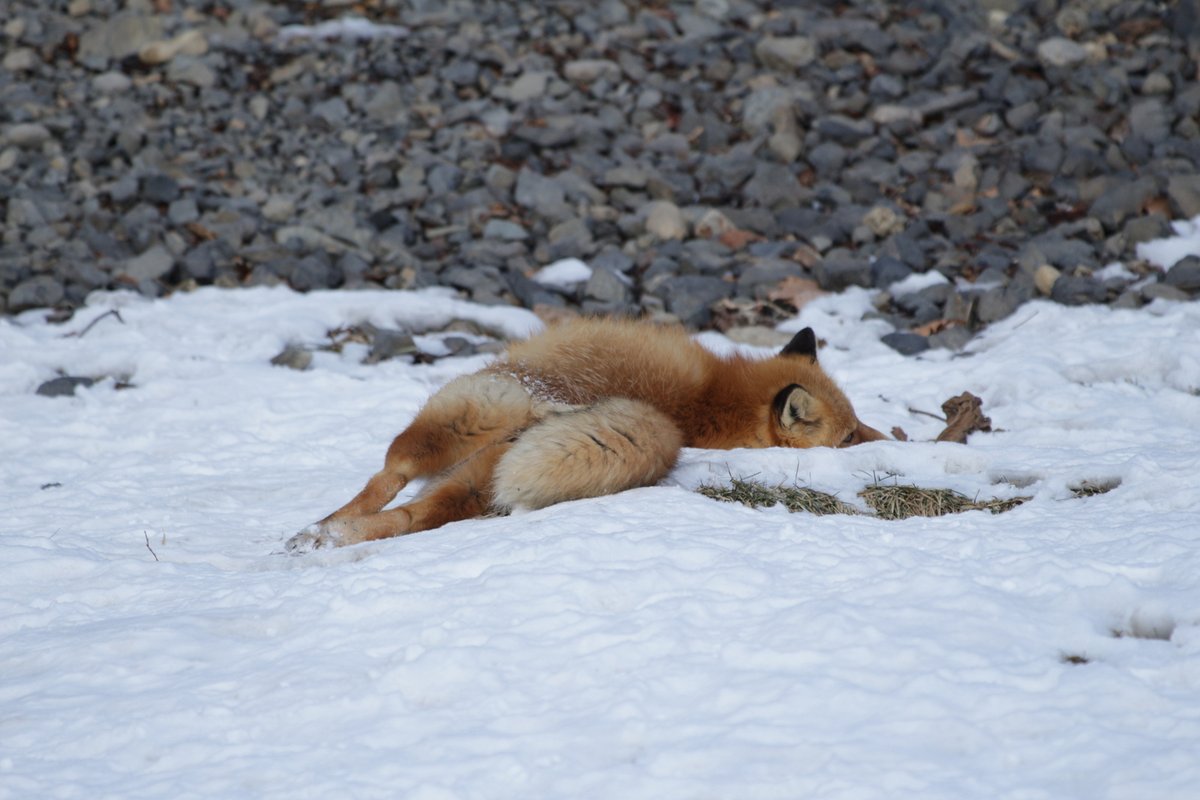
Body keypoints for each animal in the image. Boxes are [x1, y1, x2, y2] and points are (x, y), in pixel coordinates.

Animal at [280, 316, 883, 554]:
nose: (890, 441)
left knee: (402, 496)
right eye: (851, 436)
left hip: (462, 431)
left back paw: (322, 533)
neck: (712, 405)